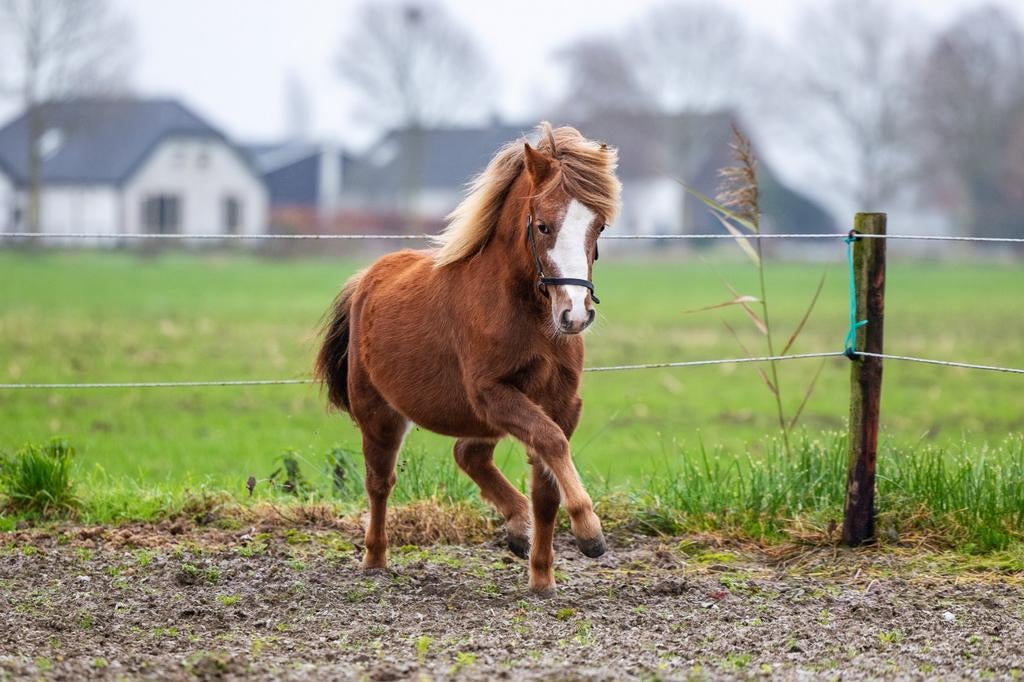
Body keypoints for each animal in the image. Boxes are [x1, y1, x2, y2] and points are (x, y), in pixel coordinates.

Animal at [314, 123, 621, 595]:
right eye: (543, 225)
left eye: (599, 226)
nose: (574, 314)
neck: (525, 313)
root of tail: (366, 278)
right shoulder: (490, 392)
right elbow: (552, 443)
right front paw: (589, 531)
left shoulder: (562, 402)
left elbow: (546, 486)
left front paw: (542, 577)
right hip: (380, 413)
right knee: (380, 481)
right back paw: (375, 559)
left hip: (478, 420)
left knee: (468, 453)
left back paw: (518, 527)